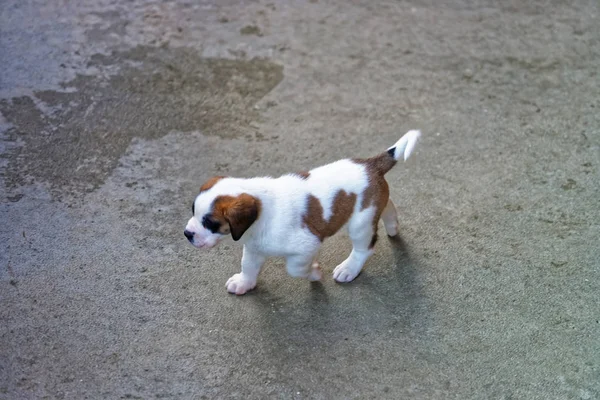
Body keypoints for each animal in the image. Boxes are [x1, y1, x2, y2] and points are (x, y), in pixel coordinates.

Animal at [184, 130, 422, 294]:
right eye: (193, 211)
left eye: (210, 223)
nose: (187, 234)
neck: (261, 214)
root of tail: (370, 164)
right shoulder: (254, 247)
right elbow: (248, 265)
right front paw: (244, 282)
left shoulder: (306, 245)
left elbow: (295, 268)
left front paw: (314, 272)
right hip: (372, 207)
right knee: (388, 205)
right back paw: (393, 226)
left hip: (359, 224)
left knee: (365, 248)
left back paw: (349, 268)